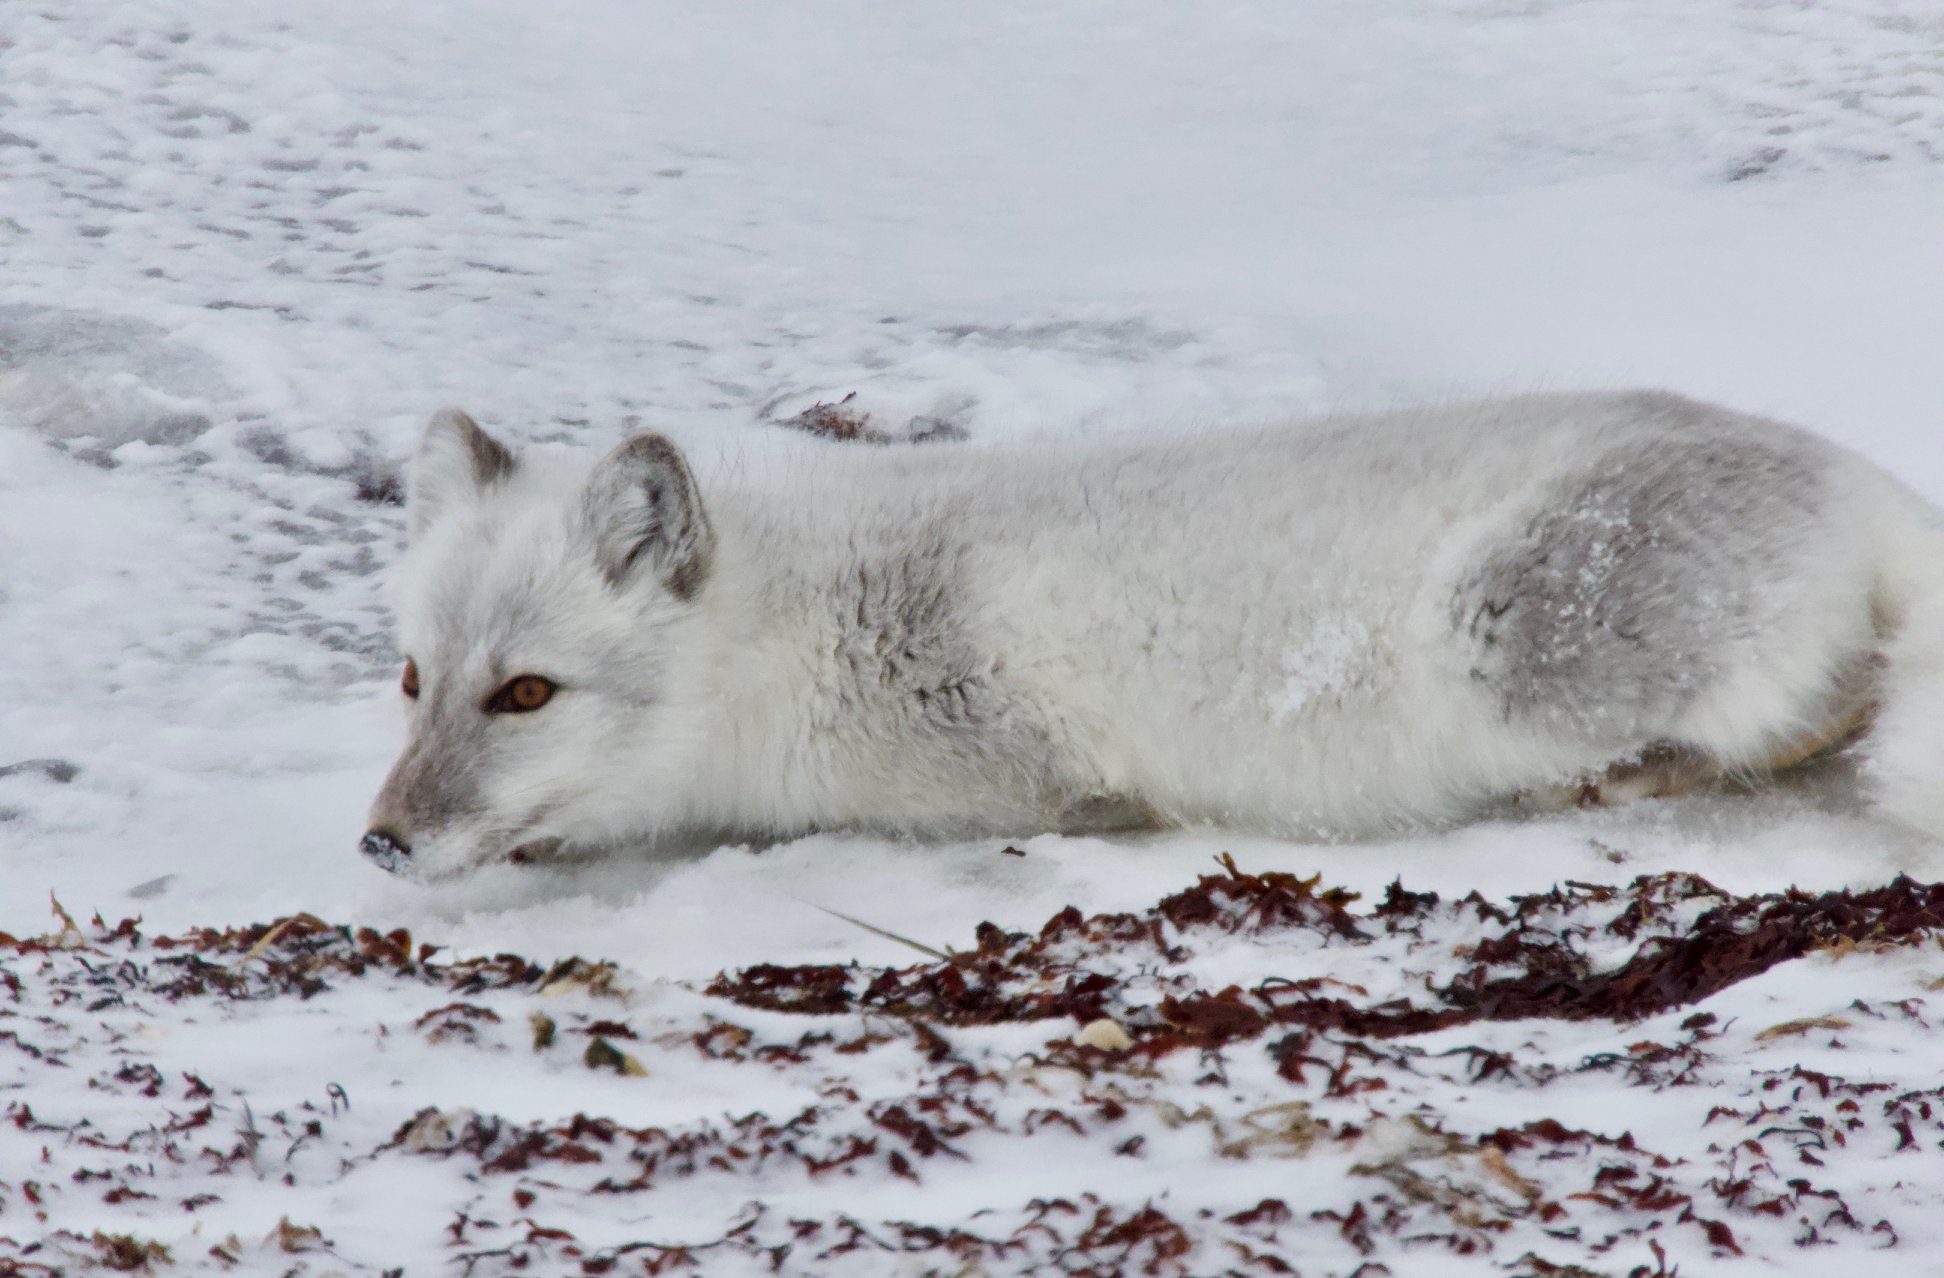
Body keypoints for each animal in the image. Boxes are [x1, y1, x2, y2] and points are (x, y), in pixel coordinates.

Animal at [361, 389, 1944, 879]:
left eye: (525, 693)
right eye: (414, 681)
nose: (379, 841)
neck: (793, 625)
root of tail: (1870, 486)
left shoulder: (1011, 778)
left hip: (1511, 634)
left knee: (1819, 717)